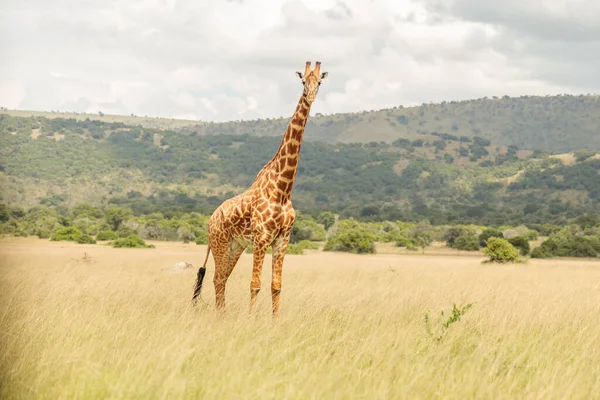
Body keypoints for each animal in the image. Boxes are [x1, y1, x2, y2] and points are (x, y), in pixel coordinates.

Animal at [192, 61, 328, 316]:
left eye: (320, 81)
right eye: (303, 81)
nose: (311, 95)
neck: (283, 189)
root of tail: (211, 219)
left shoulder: (282, 238)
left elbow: (276, 285)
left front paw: (275, 320)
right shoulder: (262, 237)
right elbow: (255, 284)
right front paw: (251, 319)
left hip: (235, 246)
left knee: (221, 279)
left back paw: (223, 314)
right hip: (220, 243)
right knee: (217, 278)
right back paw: (221, 315)